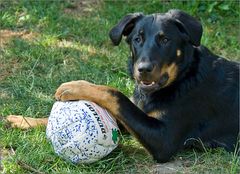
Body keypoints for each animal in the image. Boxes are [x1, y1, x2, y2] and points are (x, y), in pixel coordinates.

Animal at [7, 9, 238, 162]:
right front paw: (23, 120)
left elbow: (116, 94)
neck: (184, 76)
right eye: (137, 39)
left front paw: (75, 86)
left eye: (165, 40)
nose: (143, 69)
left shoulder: (164, 138)